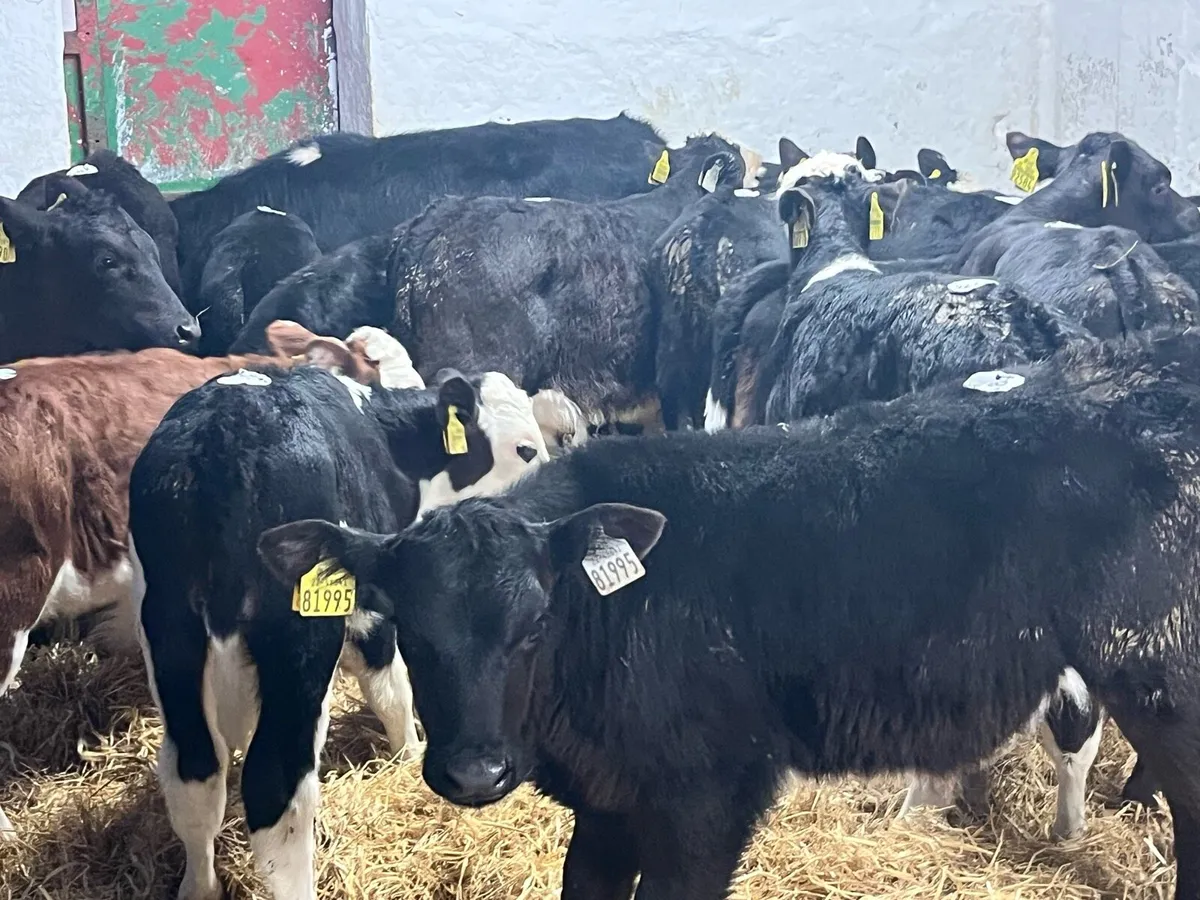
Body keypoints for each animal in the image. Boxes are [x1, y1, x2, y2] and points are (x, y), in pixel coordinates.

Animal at [129, 359, 551, 900]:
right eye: (525, 448)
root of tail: (222, 437)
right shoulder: (376, 601)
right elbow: (392, 687)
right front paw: (409, 754)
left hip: (169, 631)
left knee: (194, 773)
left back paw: (200, 887)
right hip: (297, 643)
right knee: (278, 787)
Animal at [258, 327, 1200, 900]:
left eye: (533, 625)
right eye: (413, 634)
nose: (475, 774)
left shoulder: (707, 800)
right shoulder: (607, 805)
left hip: (1161, 675)